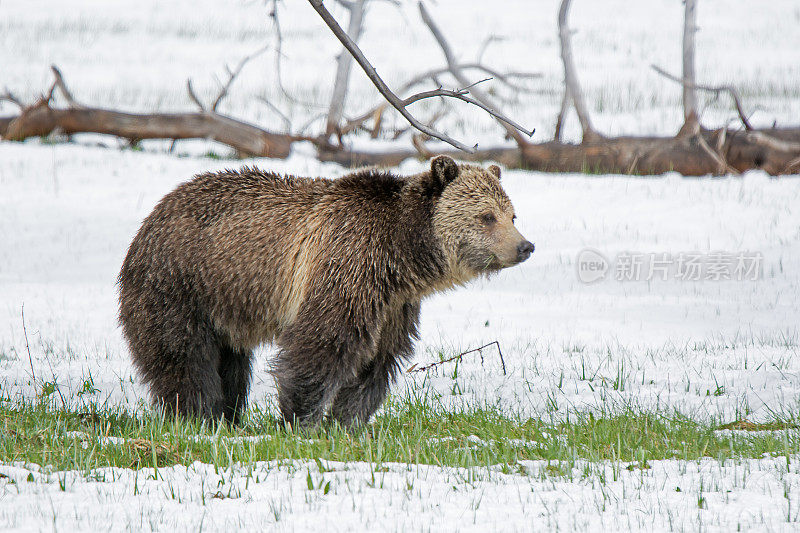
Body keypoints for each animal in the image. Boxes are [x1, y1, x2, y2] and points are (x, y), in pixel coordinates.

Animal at [117, 155, 532, 428]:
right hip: (182, 283)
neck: (402, 254)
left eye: (512, 214)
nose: (524, 246)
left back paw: (229, 414)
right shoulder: (348, 267)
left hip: (227, 300)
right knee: (183, 354)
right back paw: (199, 414)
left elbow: (376, 361)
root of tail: (156, 212)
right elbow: (323, 345)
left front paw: (347, 421)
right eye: (487, 216)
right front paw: (302, 419)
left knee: (231, 362)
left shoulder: (394, 304)